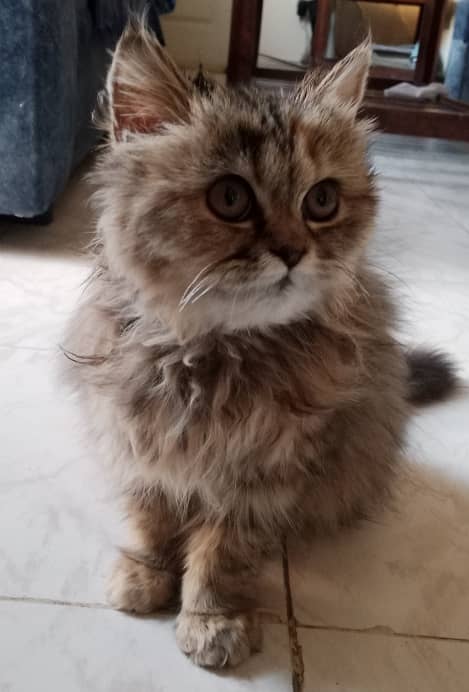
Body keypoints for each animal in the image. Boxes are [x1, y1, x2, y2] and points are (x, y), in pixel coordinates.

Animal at [64, 23, 456, 672]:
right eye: (230, 198)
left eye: (321, 202)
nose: (294, 251)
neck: (210, 359)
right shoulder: (140, 444)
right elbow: (151, 520)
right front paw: (147, 575)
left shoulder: (261, 475)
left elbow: (221, 554)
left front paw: (211, 619)